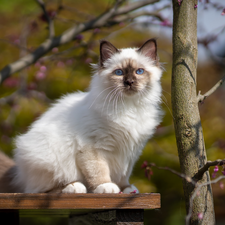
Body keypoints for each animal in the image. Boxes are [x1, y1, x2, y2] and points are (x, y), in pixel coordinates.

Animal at [2, 38, 163, 193]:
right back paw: (74, 187)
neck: (129, 106)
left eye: (139, 71)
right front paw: (106, 186)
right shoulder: (92, 147)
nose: (129, 82)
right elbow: (99, 171)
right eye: (119, 73)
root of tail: (19, 174)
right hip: (49, 157)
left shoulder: (130, 152)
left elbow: (124, 175)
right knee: (40, 190)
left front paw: (126, 189)